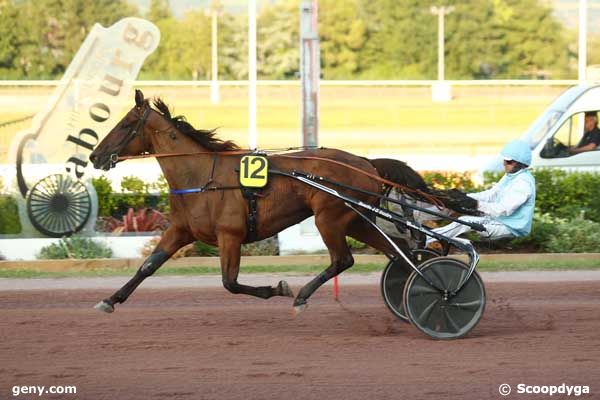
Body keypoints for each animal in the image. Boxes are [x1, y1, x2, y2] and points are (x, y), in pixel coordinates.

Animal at [90, 89, 474, 314]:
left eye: (124, 124)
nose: (95, 156)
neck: (202, 176)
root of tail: (366, 163)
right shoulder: (182, 231)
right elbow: (147, 266)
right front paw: (110, 300)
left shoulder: (230, 236)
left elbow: (230, 283)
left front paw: (279, 287)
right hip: (355, 220)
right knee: (399, 253)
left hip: (329, 218)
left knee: (344, 259)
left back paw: (303, 295)